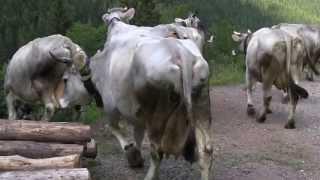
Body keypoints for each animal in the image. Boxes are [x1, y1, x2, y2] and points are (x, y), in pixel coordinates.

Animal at [89, 7, 212, 179]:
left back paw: (149, 175)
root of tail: (179, 53)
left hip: (156, 113)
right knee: (206, 150)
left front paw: (132, 154)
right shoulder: (135, 112)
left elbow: (115, 129)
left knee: (156, 150)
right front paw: (136, 155)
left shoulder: (110, 104)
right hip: (201, 104)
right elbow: (137, 133)